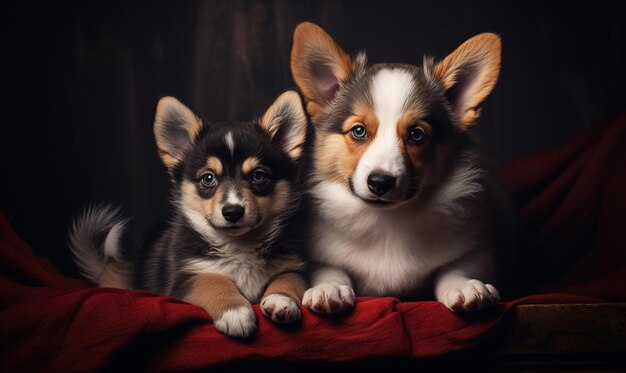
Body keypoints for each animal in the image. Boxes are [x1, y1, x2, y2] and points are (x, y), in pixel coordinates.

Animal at [69, 90, 308, 338]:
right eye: (208, 178)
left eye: (258, 176)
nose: (233, 211)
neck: (239, 246)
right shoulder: (186, 276)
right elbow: (213, 281)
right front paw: (235, 312)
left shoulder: (293, 265)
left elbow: (289, 279)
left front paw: (281, 300)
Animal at [290, 23, 516, 312]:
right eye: (359, 131)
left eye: (417, 135)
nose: (380, 182)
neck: (389, 220)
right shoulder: (319, 255)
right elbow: (330, 269)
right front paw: (329, 290)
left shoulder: (478, 247)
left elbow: (456, 268)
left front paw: (465, 287)